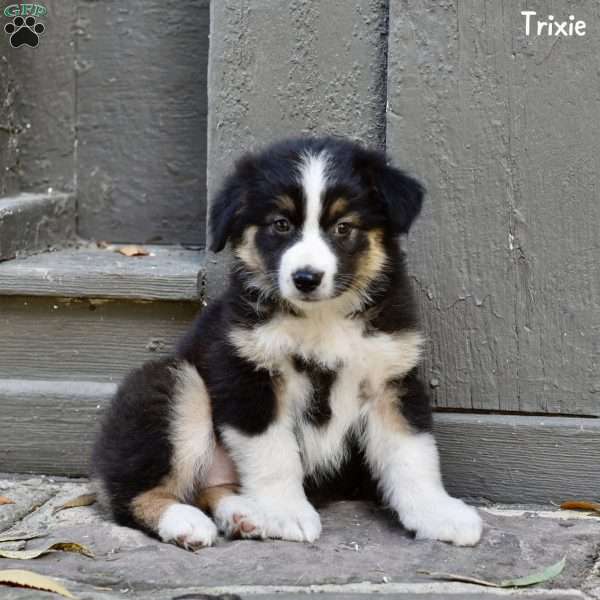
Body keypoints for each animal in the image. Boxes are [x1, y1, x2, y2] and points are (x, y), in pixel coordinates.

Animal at [90, 136, 482, 548]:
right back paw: (185, 521)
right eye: (281, 224)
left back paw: (243, 514)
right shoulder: (249, 374)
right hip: (175, 382)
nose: (306, 278)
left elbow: (412, 453)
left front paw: (438, 513)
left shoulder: (390, 377)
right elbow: (274, 454)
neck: (323, 317)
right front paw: (285, 512)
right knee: (131, 495)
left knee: (212, 487)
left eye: (343, 227)